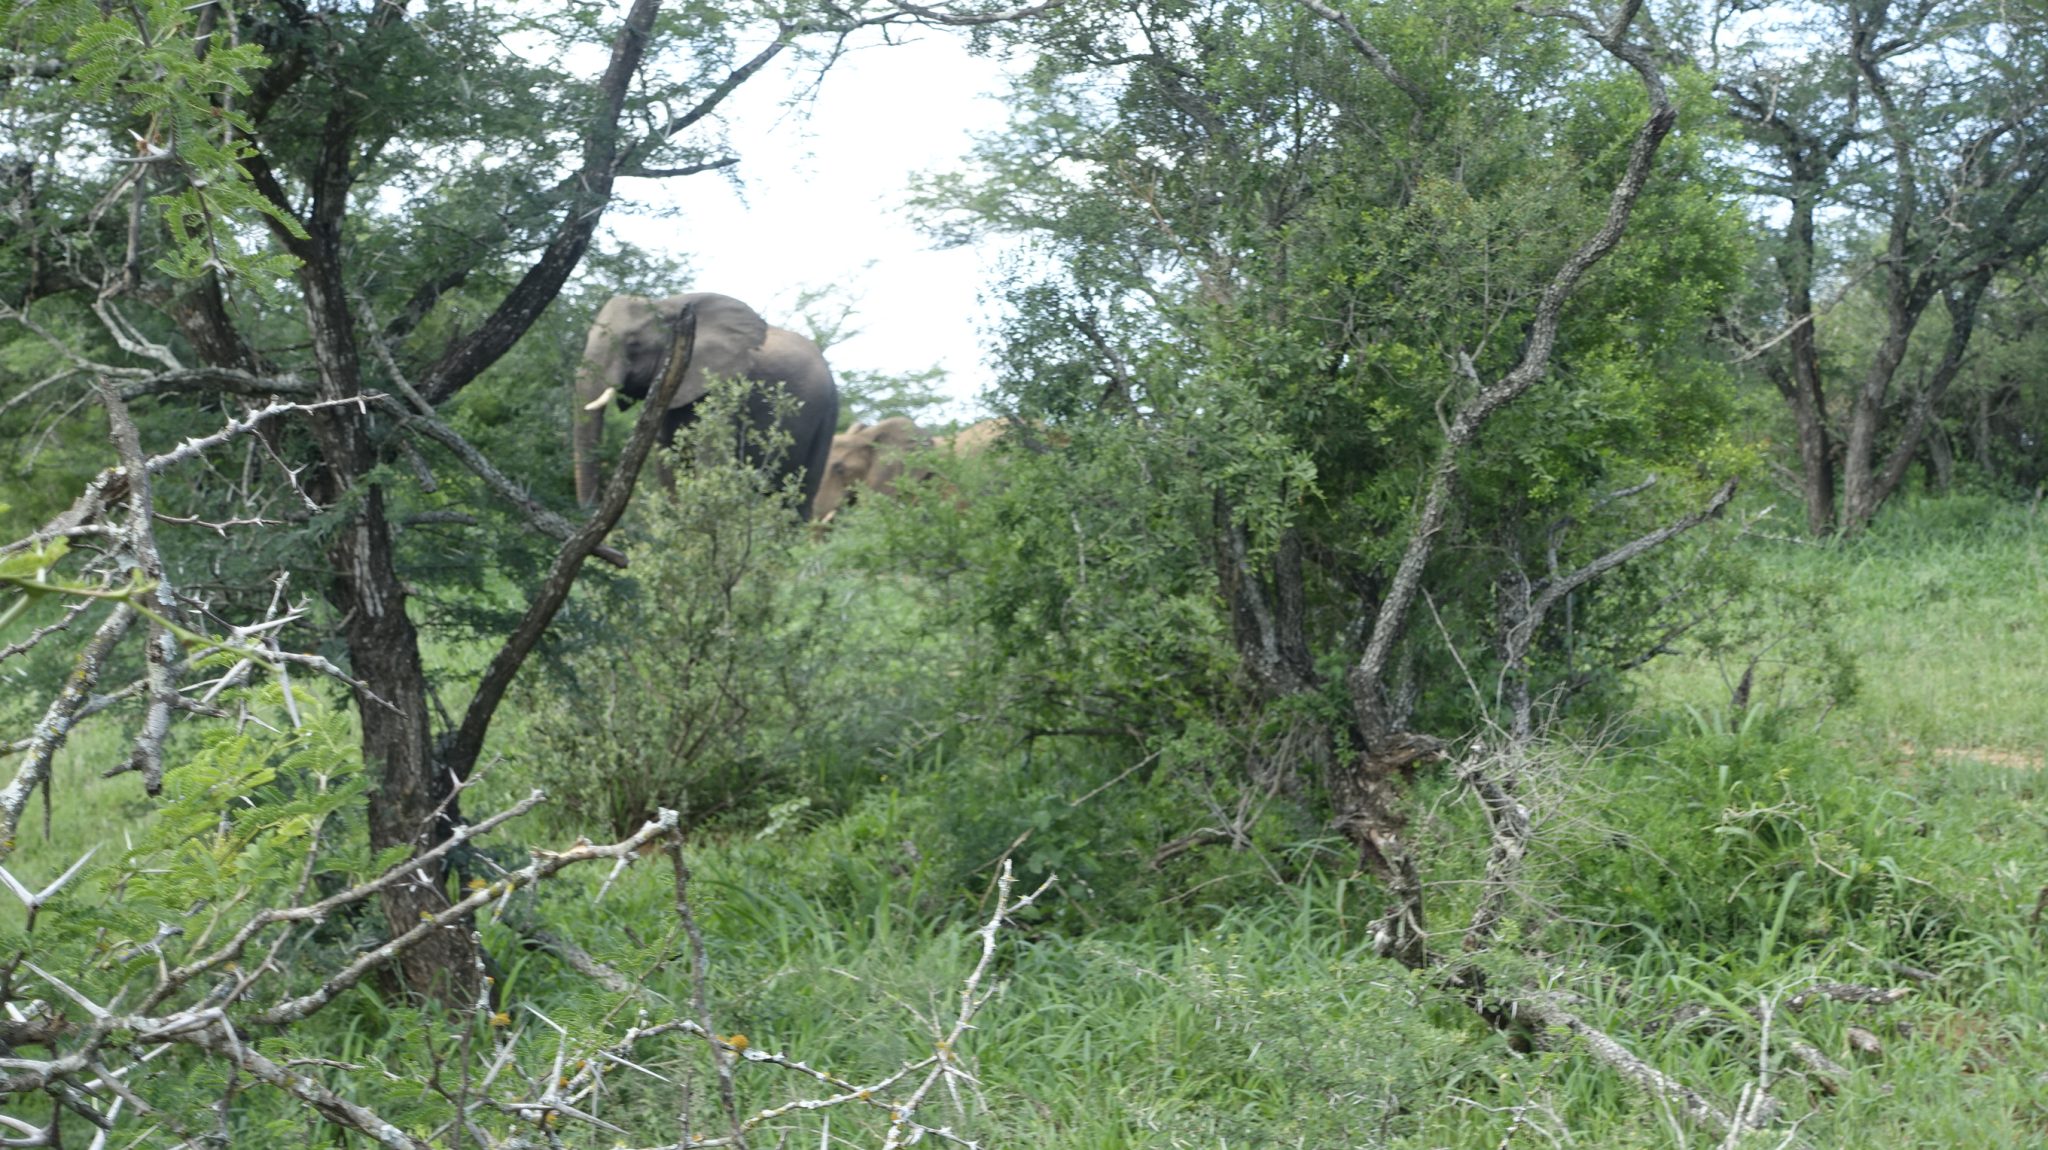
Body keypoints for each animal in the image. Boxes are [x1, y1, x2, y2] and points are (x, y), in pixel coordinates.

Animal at [572, 292, 840, 521]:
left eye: (634, 343)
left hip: (827, 415)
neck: (666, 304)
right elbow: (668, 462)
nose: (590, 511)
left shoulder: (721, 386)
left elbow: (711, 459)